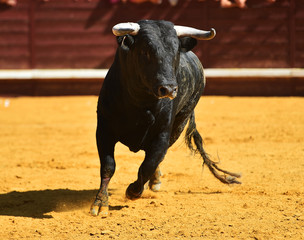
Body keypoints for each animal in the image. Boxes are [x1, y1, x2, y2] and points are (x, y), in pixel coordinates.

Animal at [90, 19, 240, 217]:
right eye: (145, 51)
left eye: (175, 51)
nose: (168, 89)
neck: (140, 103)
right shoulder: (104, 130)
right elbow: (108, 166)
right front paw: (100, 204)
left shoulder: (162, 134)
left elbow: (149, 164)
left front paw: (133, 191)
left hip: (180, 123)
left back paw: (153, 182)